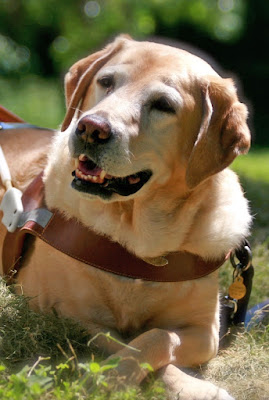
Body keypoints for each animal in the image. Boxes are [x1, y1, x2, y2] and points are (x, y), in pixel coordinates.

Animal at [0, 36, 251, 398]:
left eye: (163, 105)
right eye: (106, 82)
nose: (90, 128)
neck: (134, 242)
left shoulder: (205, 332)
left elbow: (158, 337)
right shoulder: (57, 313)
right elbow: (120, 341)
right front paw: (111, 376)